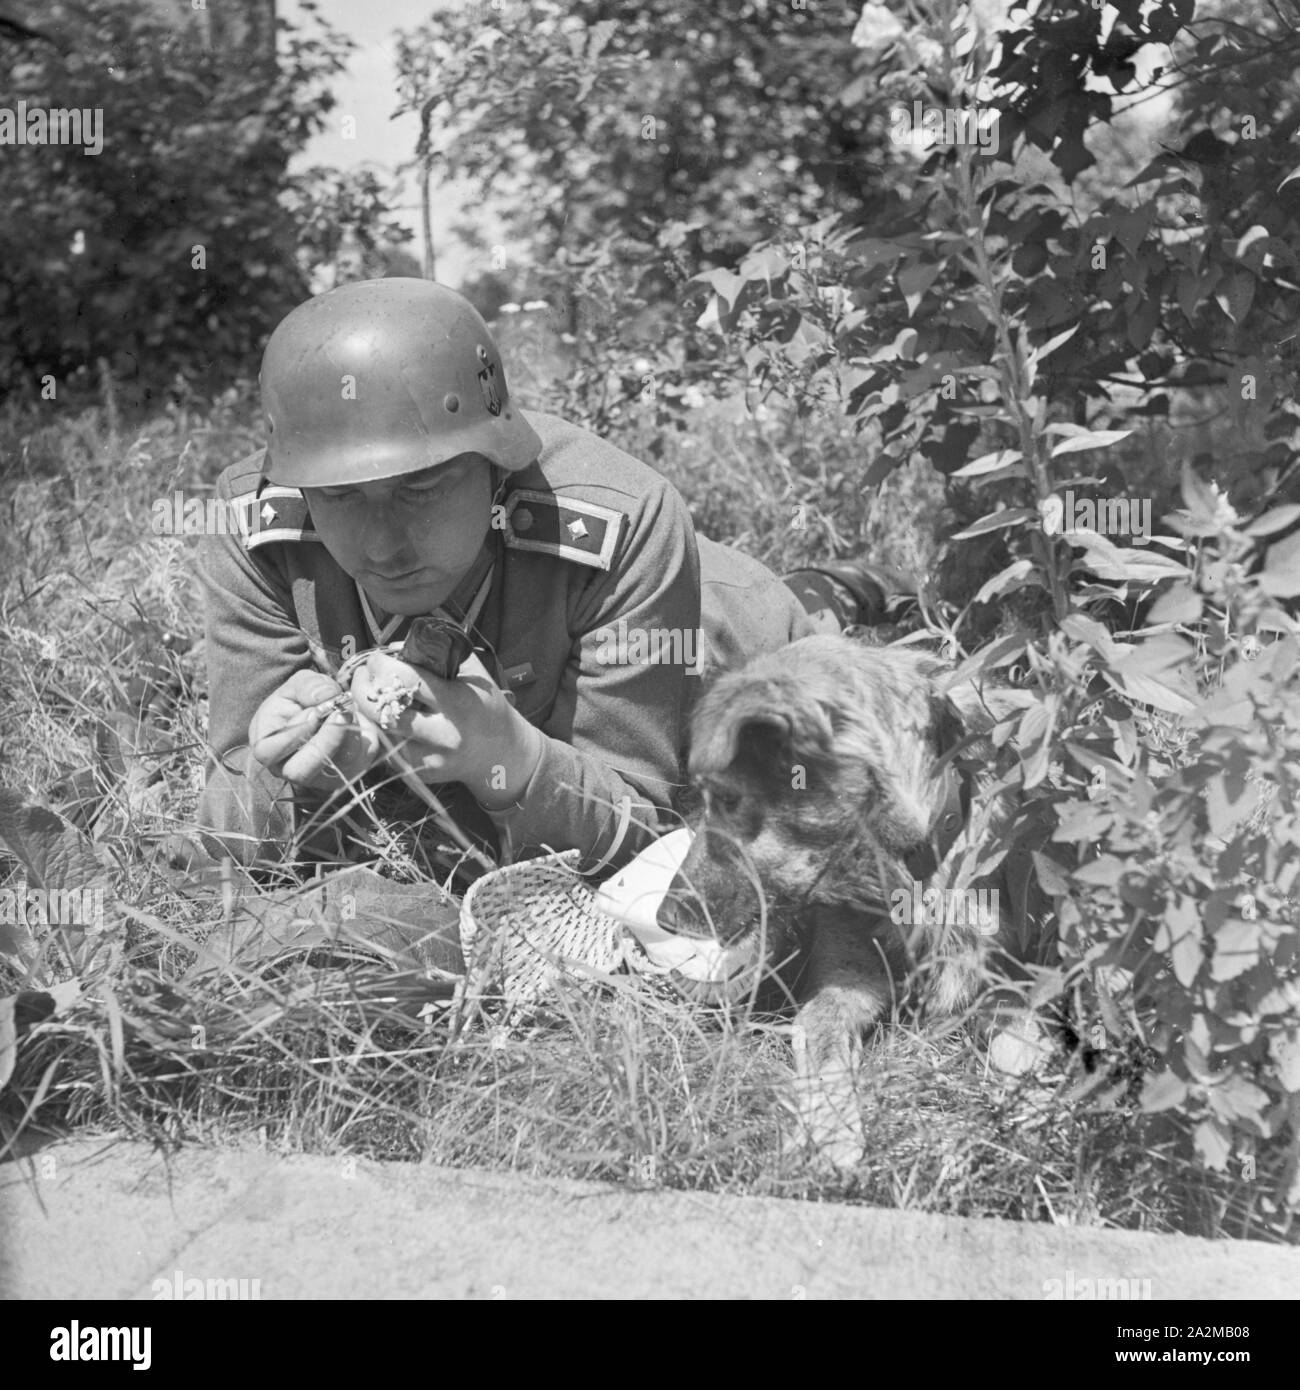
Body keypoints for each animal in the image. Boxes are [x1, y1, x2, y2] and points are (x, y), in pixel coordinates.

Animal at [661, 636, 1028, 1167]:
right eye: (705, 801)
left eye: (729, 802)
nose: (662, 918)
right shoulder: (846, 983)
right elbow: (820, 1037)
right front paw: (830, 1129)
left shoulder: (1010, 982)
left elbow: (1023, 1046)